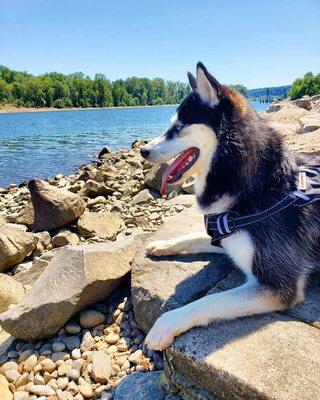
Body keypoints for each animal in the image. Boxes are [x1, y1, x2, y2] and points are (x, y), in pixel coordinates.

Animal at [140, 61, 320, 350]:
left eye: (178, 127)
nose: (142, 151)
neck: (262, 188)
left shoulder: (279, 285)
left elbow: (210, 299)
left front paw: (167, 322)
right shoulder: (224, 233)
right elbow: (192, 237)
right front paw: (164, 245)